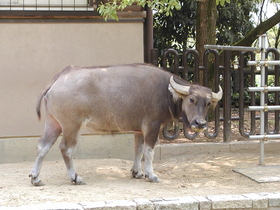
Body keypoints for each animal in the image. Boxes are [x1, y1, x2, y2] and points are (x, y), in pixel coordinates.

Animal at [29, 63, 222, 185]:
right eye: (191, 99)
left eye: (208, 103)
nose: (200, 123)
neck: (166, 92)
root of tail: (58, 78)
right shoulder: (152, 126)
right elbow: (149, 151)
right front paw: (151, 174)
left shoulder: (139, 130)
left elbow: (138, 149)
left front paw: (137, 172)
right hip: (72, 126)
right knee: (66, 148)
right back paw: (75, 177)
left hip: (53, 124)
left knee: (42, 146)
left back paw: (35, 177)